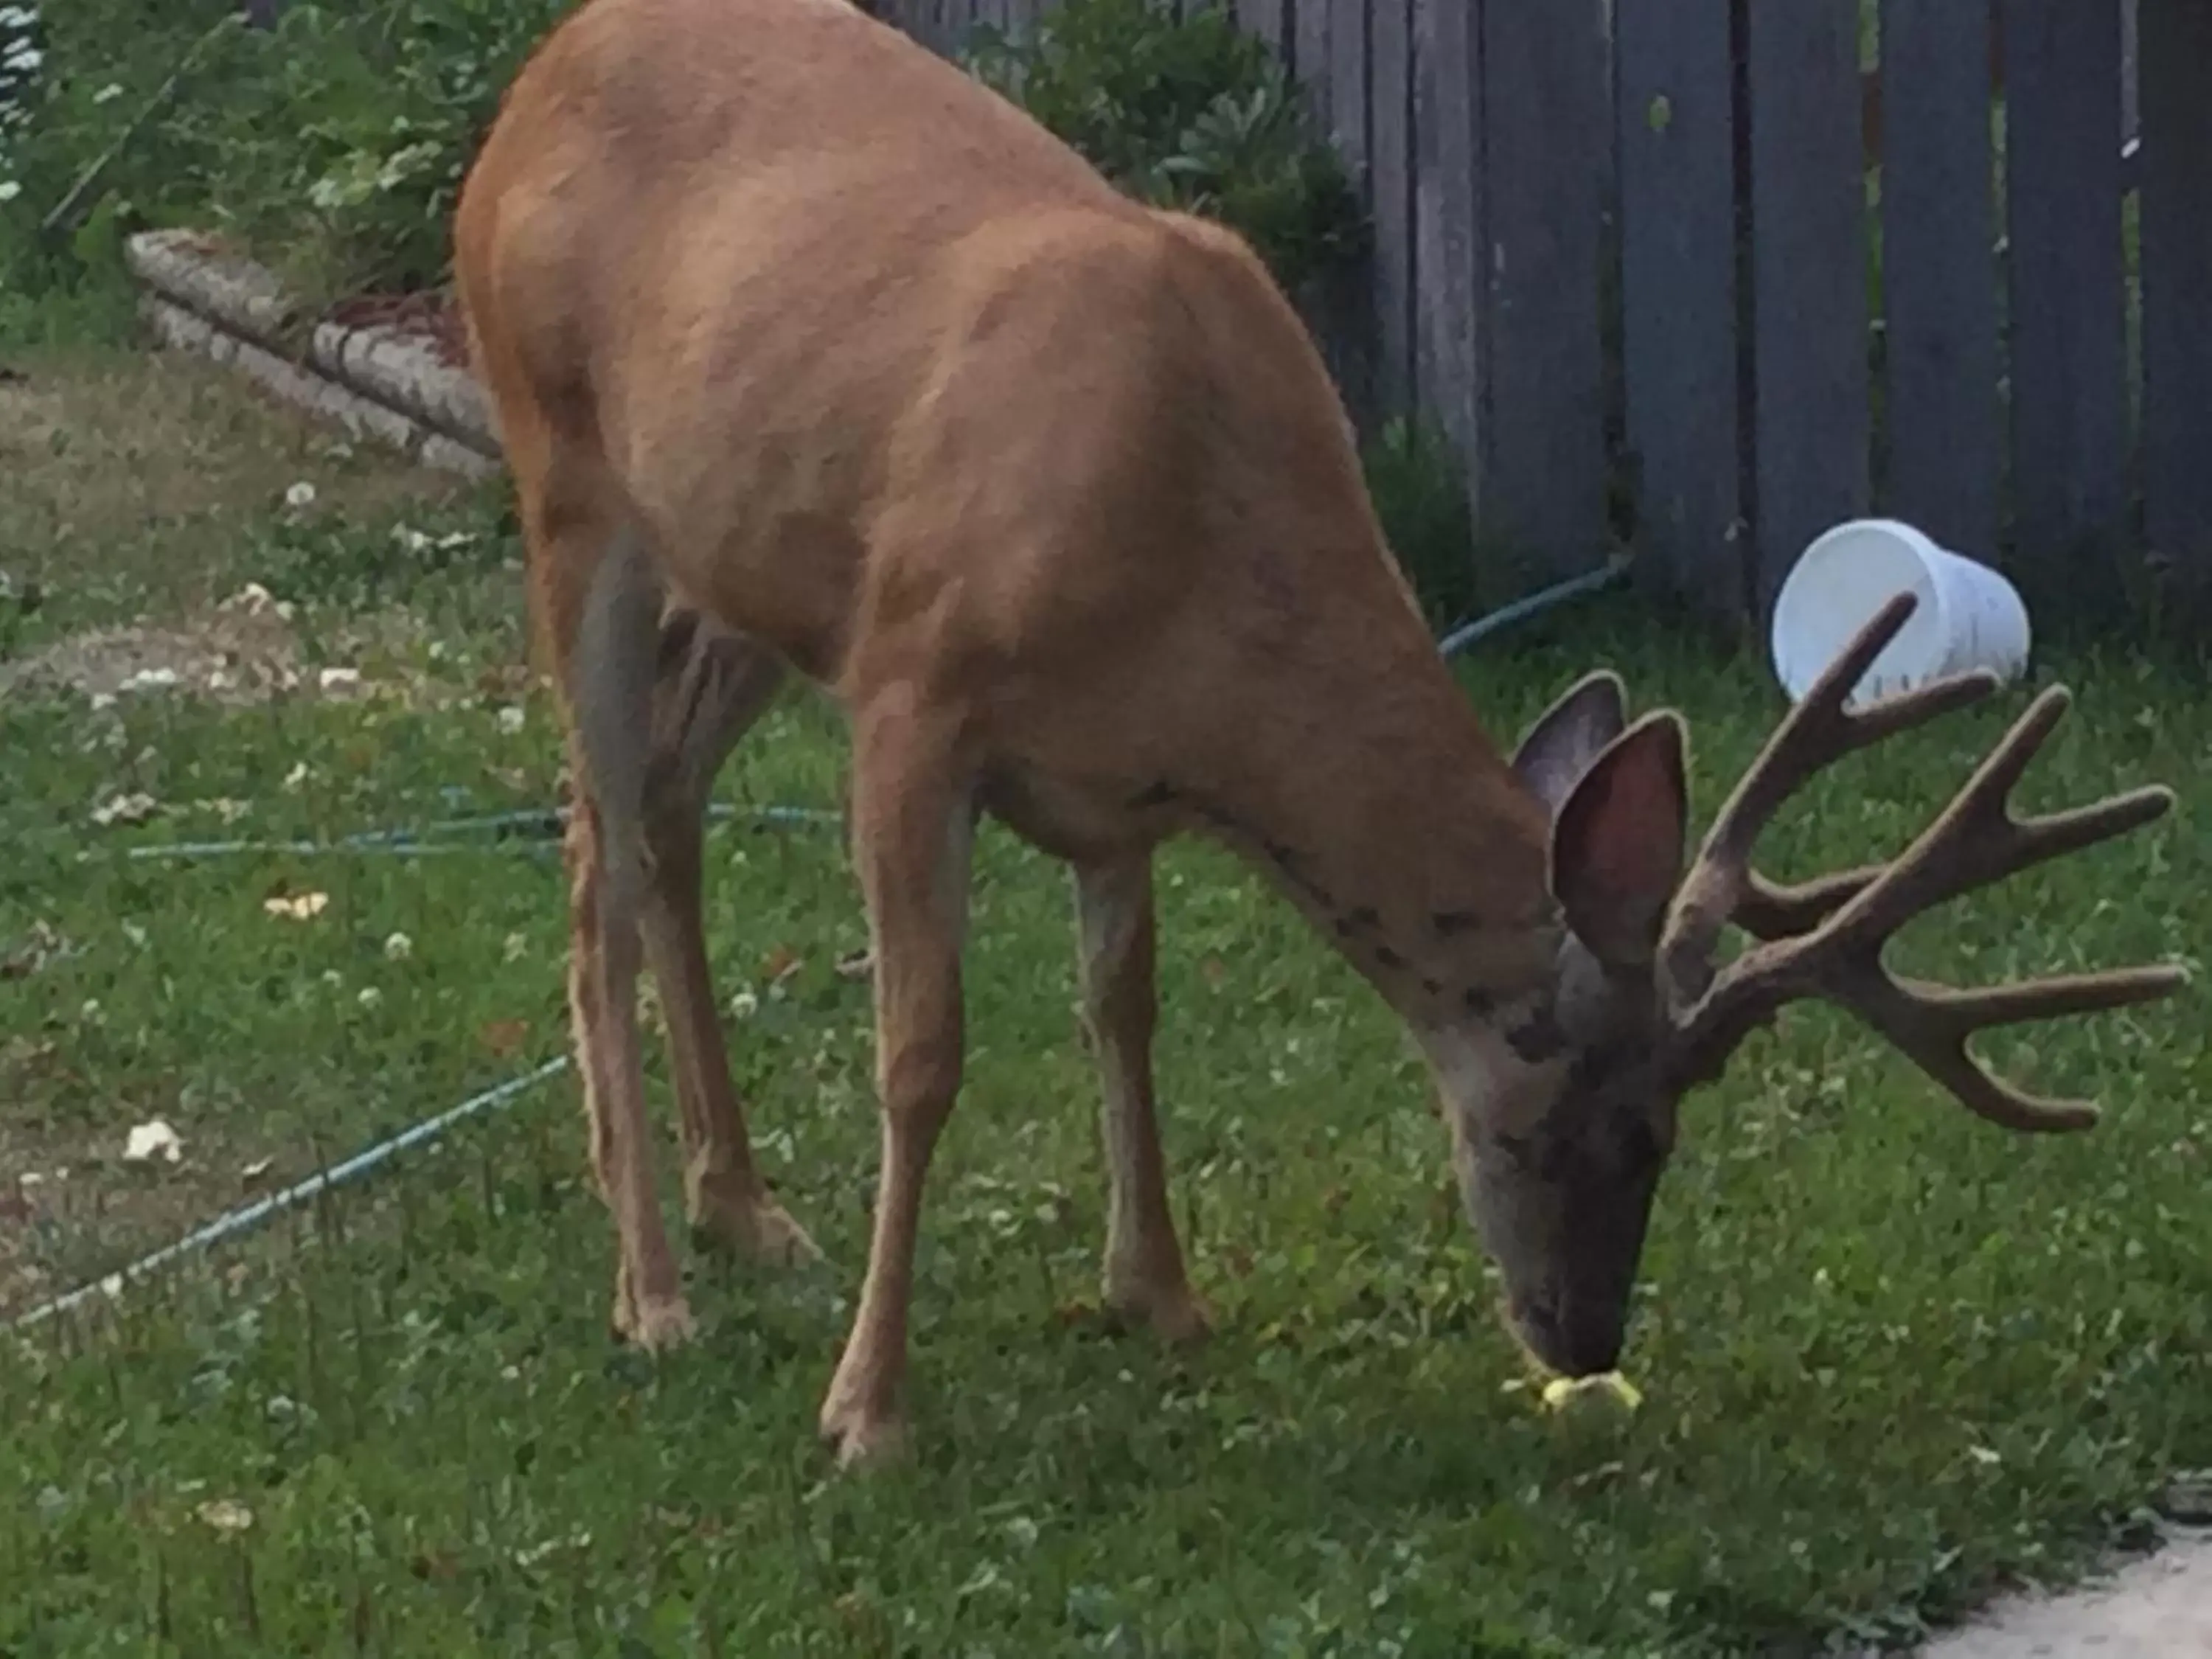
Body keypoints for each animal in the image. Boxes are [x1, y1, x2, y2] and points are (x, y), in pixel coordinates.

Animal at [458, 0, 2185, 1469]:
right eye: (1622, 1130)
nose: (1586, 1340)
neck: (1196, 590)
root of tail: (538, 72)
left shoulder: (1112, 785)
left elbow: (1124, 1007)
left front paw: (1159, 1296)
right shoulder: (913, 690)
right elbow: (923, 1053)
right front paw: (869, 1409)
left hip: (744, 565)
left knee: (664, 807)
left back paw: (743, 1208)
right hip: (567, 474)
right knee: (596, 864)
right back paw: (655, 1291)